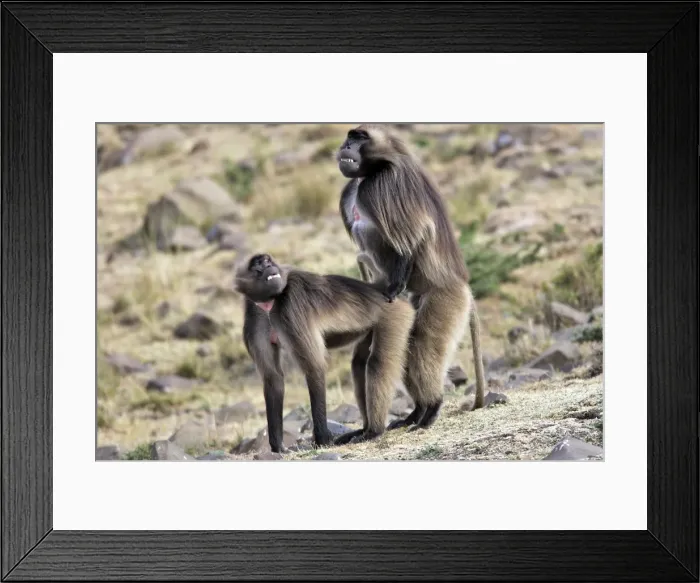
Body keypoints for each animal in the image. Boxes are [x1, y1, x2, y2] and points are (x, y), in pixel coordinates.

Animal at [234, 253, 415, 453]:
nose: (268, 266)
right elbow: (273, 378)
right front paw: (278, 447)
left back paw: (374, 431)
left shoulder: (291, 306)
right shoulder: (255, 318)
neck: (270, 303)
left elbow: (314, 367)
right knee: (359, 365)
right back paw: (365, 429)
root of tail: (381, 292)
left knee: (378, 363)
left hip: (394, 314)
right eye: (258, 265)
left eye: (268, 261)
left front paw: (322, 439)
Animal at [337, 124, 487, 431]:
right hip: (419, 298)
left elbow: (412, 237)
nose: (345, 147)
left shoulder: (380, 187)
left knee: (420, 347)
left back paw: (431, 408)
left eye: (359, 138)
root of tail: (464, 285)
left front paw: (391, 287)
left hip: (445, 299)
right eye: (349, 137)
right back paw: (416, 412)